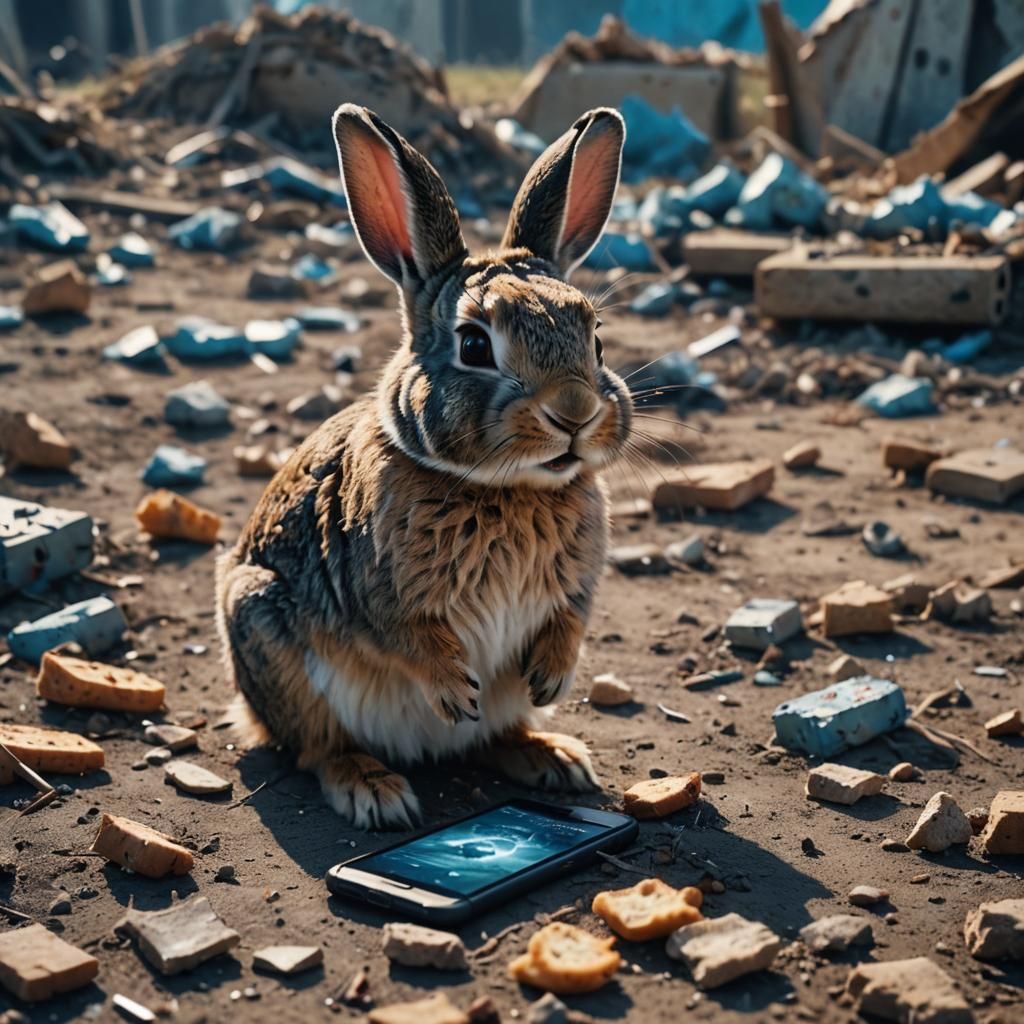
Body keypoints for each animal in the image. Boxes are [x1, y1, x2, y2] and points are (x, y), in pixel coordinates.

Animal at [216, 103, 633, 829]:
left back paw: (553, 755)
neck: (510, 489)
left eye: (596, 339)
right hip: (263, 627)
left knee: (497, 734)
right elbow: (410, 640)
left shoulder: (575, 589)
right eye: (474, 345)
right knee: (316, 746)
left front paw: (552, 677)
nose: (575, 413)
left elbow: (569, 621)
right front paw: (455, 690)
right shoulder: (380, 593)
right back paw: (374, 790)